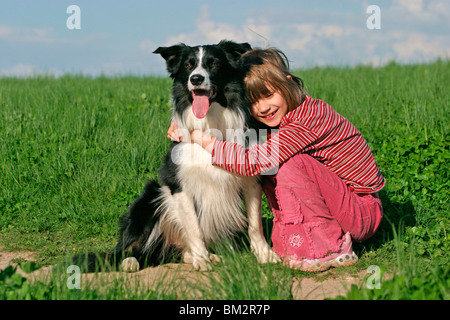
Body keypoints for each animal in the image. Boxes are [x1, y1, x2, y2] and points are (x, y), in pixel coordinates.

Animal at [73, 38, 278, 272]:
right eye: (188, 66)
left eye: (213, 63)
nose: (196, 79)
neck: (209, 125)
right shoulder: (178, 184)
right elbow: (194, 228)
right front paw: (202, 260)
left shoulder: (250, 180)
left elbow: (255, 224)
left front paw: (265, 254)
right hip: (149, 199)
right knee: (125, 249)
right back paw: (130, 261)